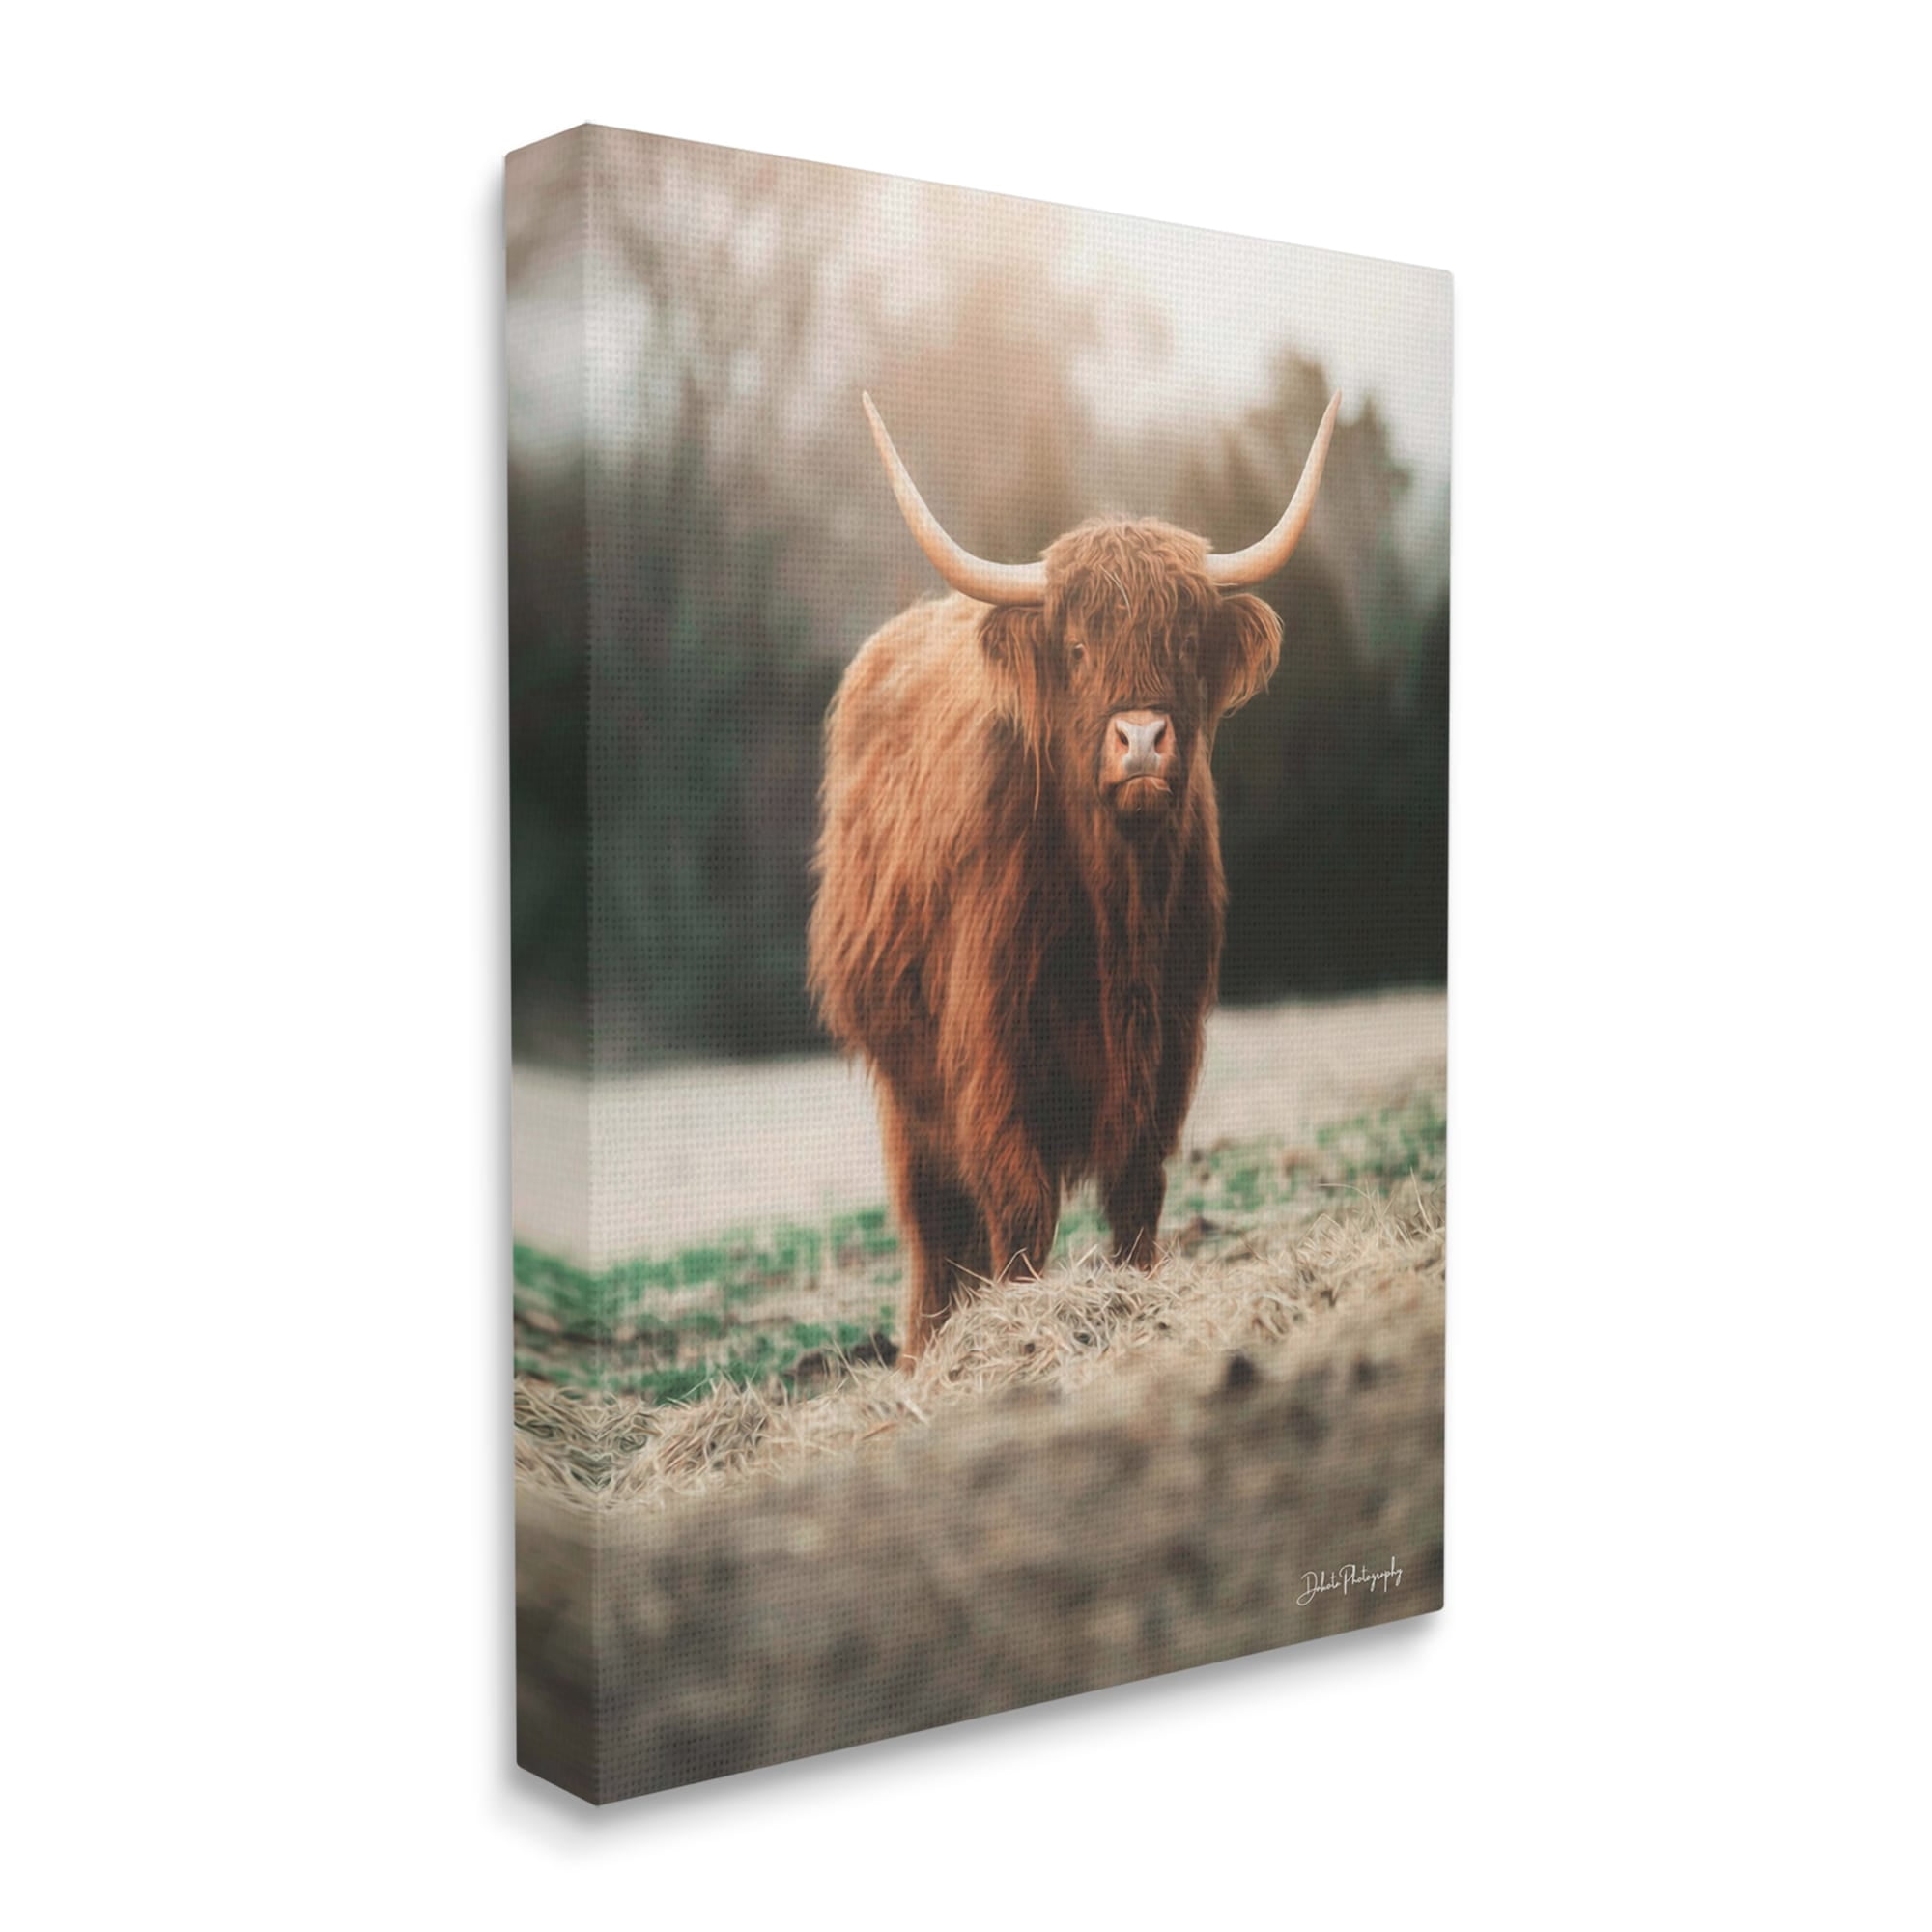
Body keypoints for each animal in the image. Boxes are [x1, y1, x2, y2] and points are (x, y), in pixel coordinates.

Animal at [808, 390, 1340, 1366]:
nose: (1141, 740)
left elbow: (1137, 1193)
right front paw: (1020, 1330)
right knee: (931, 1224)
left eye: (1184, 638)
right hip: (907, 1083)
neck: (1117, 899)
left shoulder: (1167, 1043)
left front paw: (1135, 1302)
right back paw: (926, 1352)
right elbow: (1018, 1205)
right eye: (1082, 646)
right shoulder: (991, 1051)